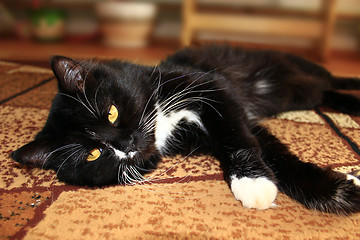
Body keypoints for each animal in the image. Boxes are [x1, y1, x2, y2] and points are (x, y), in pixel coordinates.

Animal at [10, 44, 360, 214]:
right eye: (94, 154)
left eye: (111, 113)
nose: (128, 143)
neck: (161, 118)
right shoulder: (231, 122)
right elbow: (266, 148)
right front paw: (334, 190)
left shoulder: (211, 86)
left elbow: (237, 138)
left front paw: (250, 181)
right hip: (302, 91)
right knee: (324, 93)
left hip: (297, 71)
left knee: (329, 81)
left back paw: (352, 89)